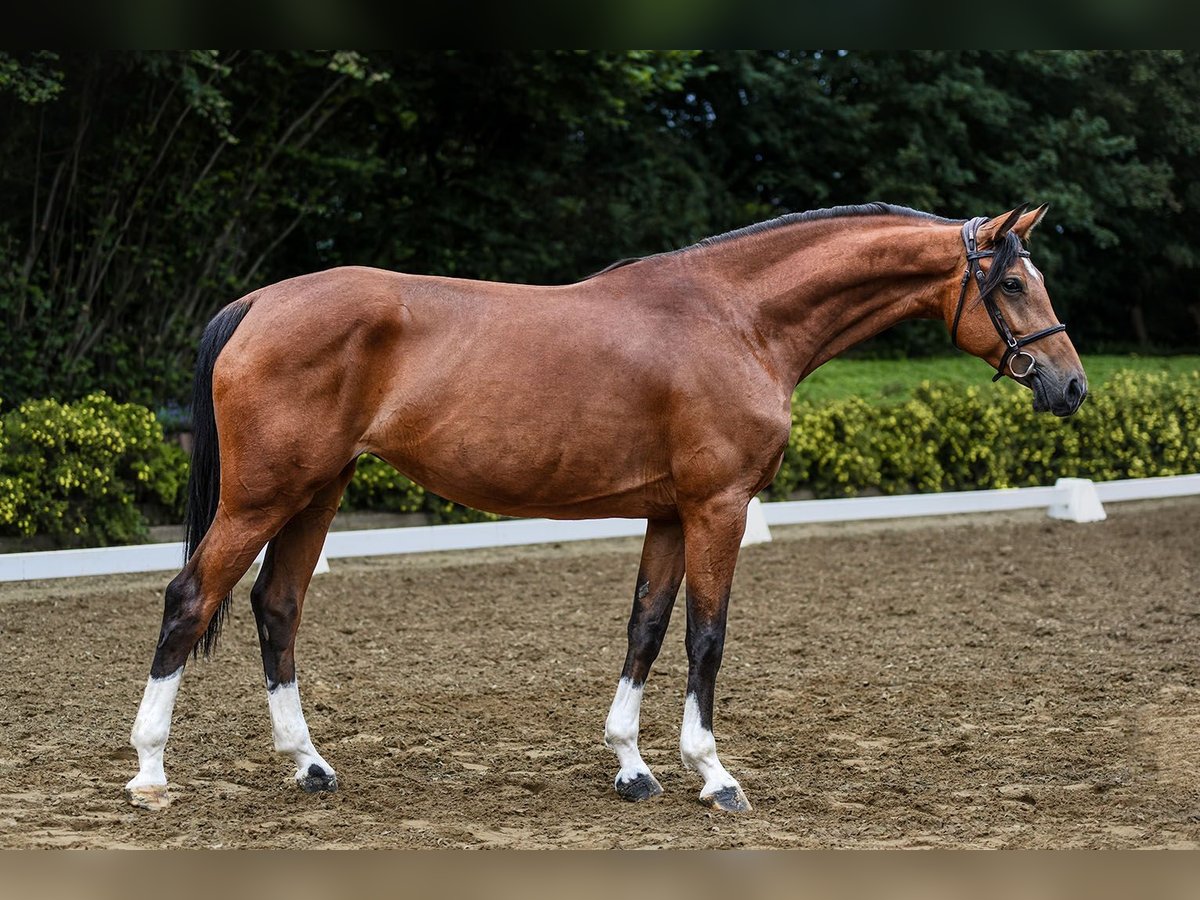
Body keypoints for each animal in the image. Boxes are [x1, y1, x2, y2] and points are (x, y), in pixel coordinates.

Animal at [124, 200, 1089, 816]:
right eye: (1012, 286)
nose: (1070, 385)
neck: (737, 317)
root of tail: (259, 300)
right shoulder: (718, 507)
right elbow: (706, 636)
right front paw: (713, 776)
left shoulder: (669, 514)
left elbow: (646, 629)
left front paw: (632, 766)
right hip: (264, 495)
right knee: (189, 601)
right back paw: (150, 774)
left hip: (315, 492)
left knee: (276, 606)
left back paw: (309, 766)